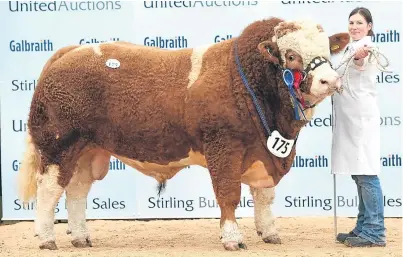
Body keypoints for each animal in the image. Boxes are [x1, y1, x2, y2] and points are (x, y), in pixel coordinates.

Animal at [17, 17, 348, 250]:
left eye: (327, 51)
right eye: (291, 55)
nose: (330, 81)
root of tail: (71, 51)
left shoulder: (265, 150)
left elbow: (264, 196)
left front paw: (270, 233)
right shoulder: (223, 147)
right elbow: (228, 195)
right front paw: (232, 238)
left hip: (88, 149)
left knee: (76, 190)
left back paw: (81, 237)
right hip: (59, 145)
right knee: (50, 189)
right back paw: (46, 238)